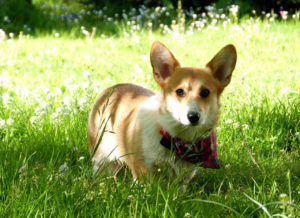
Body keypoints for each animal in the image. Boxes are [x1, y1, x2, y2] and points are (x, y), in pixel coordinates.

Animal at [87, 40, 237, 182]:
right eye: (179, 91)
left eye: (205, 92)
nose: (193, 117)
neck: (176, 140)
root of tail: (112, 89)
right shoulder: (143, 173)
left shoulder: (183, 178)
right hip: (101, 158)